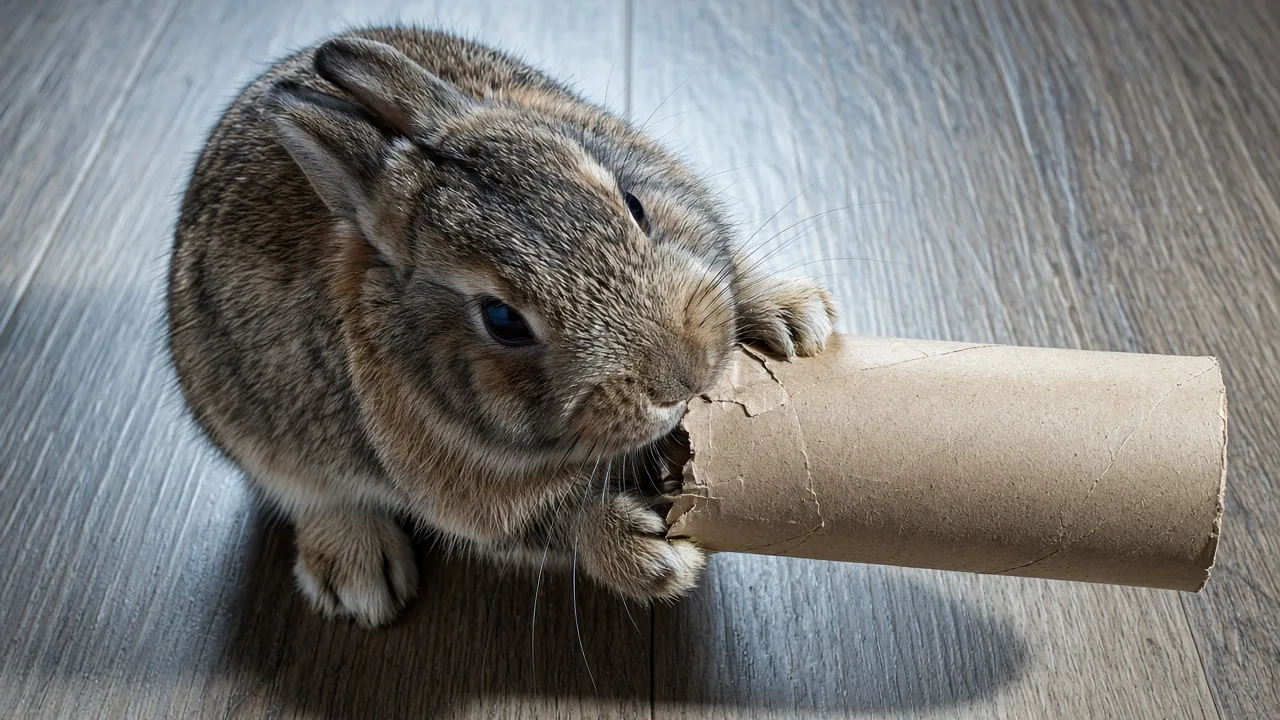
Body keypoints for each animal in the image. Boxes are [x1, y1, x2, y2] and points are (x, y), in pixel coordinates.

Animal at [166, 27, 836, 628]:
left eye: (635, 205)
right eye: (503, 320)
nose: (686, 374)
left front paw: (795, 318)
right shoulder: (476, 504)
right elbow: (559, 525)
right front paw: (648, 554)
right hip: (251, 432)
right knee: (307, 492)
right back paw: (358, 580)